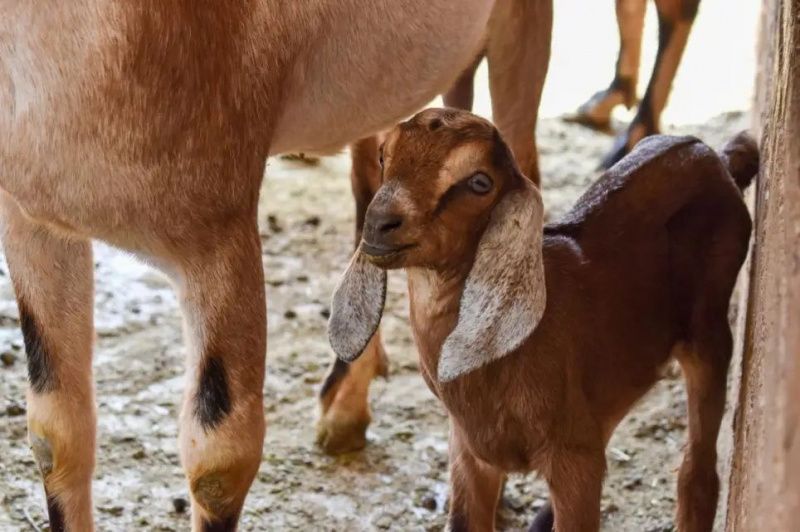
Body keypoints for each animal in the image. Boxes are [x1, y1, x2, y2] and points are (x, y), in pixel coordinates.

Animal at [329, 108, 756, 531]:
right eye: (383, 155)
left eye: (479, 182)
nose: (380, 222)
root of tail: (716, 156)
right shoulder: (470, 452)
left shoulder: (573, 462)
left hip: (709, 334)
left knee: (698, 474)